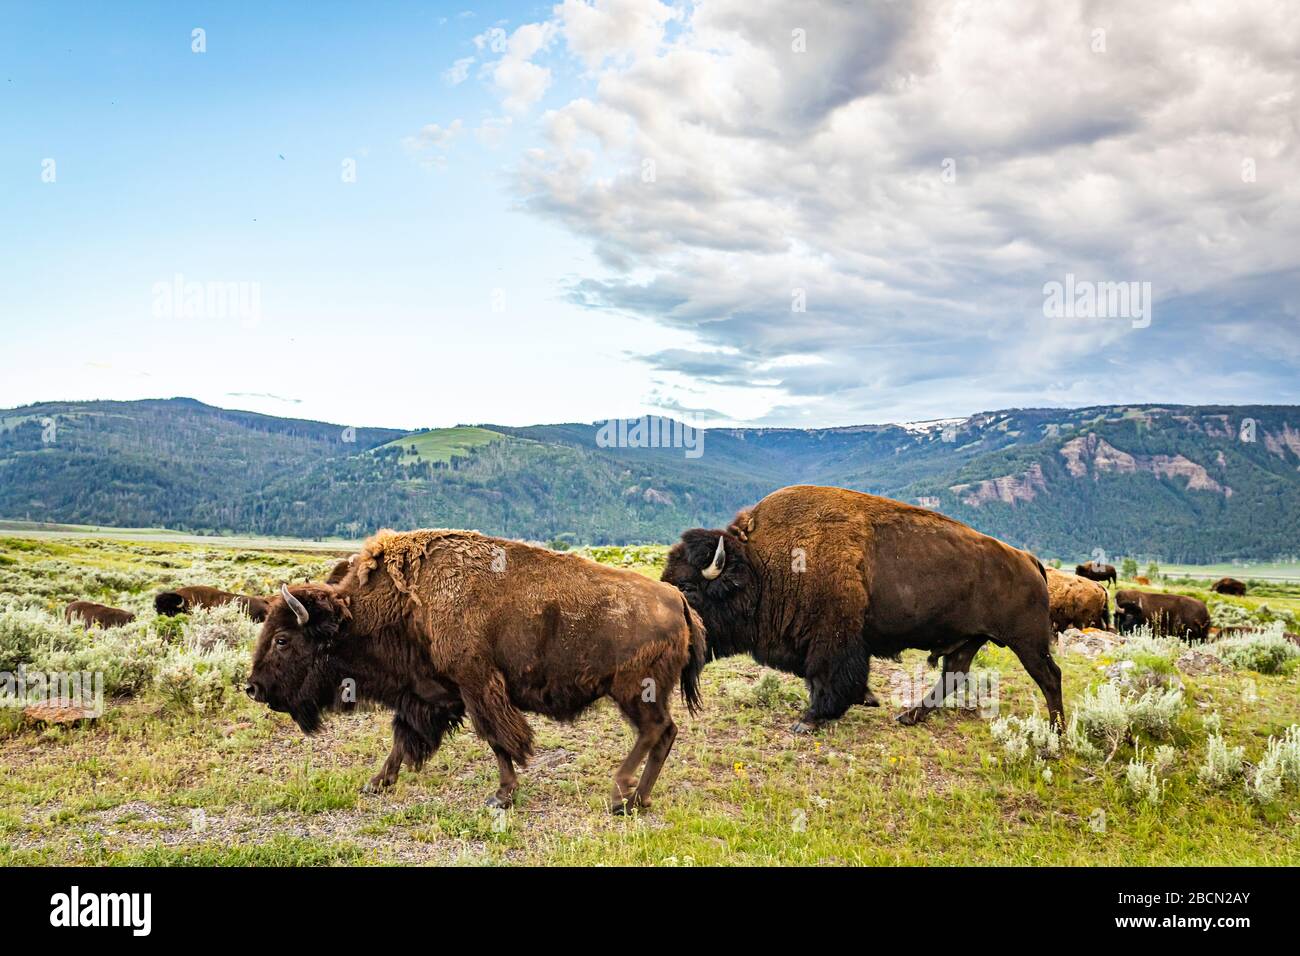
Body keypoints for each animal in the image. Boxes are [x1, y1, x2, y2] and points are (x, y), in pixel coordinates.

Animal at [246, 529, 705, 812]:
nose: (253, 688)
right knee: (665, 733)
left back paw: (619, 795)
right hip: (642, 693)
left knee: (654, 731)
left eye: (283, 639)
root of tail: (677, 599)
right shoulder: (429, 693)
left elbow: (497, 739)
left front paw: (502, 796)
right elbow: (403, 738)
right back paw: (638, 800)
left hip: (634, 690)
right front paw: (376, 783)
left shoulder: (478, 686)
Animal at [662, 485, 1063, 731]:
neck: (761, 565)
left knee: (1050, 677)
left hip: (1027, 642)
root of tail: (1029, 559)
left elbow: (827, 677)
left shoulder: (833, 639)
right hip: (969, 640)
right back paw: (909, 716)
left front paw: (808, 720)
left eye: (688, 588)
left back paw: (1054, 735)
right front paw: (867, 699)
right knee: (954, 674)